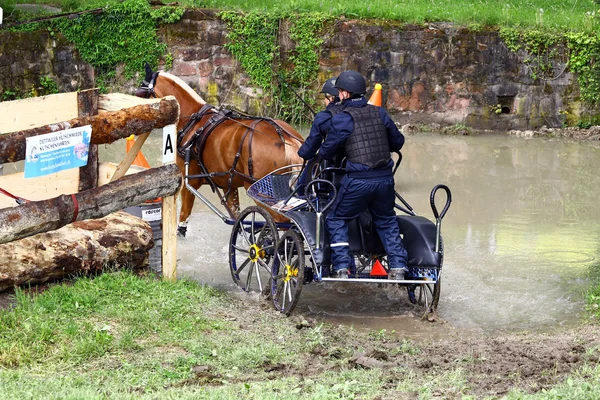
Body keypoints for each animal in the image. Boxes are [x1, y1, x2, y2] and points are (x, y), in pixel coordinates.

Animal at [137, 64, 304, 236]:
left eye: (140, 91)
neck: (193, 120)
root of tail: (285, 137)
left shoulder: (189, 182)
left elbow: (183, 217)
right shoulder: (228, 186)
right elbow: (238, 220)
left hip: (260, 192)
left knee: (283, 223)